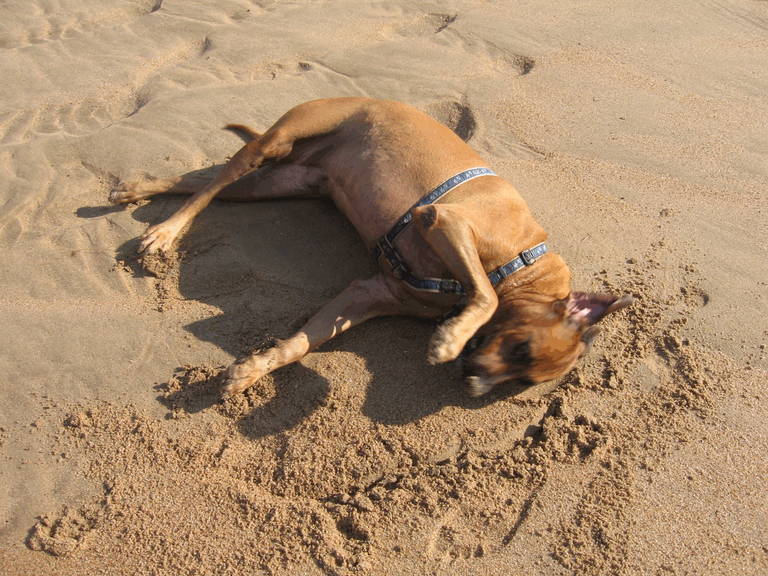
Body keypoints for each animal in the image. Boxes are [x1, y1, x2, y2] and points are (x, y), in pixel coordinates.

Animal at [112, 98, 632, 396]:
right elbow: (484, 295)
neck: (523, 262)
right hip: (277, 142)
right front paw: (448, 339)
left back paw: (137, 190)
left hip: (278, 181)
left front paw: (254, 370)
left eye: (522, 380)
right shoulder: (445, 221)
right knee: (208, 189)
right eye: (522, 349)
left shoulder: (369, 292)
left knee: (198, 182)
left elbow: (301, 344)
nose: (471, 382)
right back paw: (164, 233)